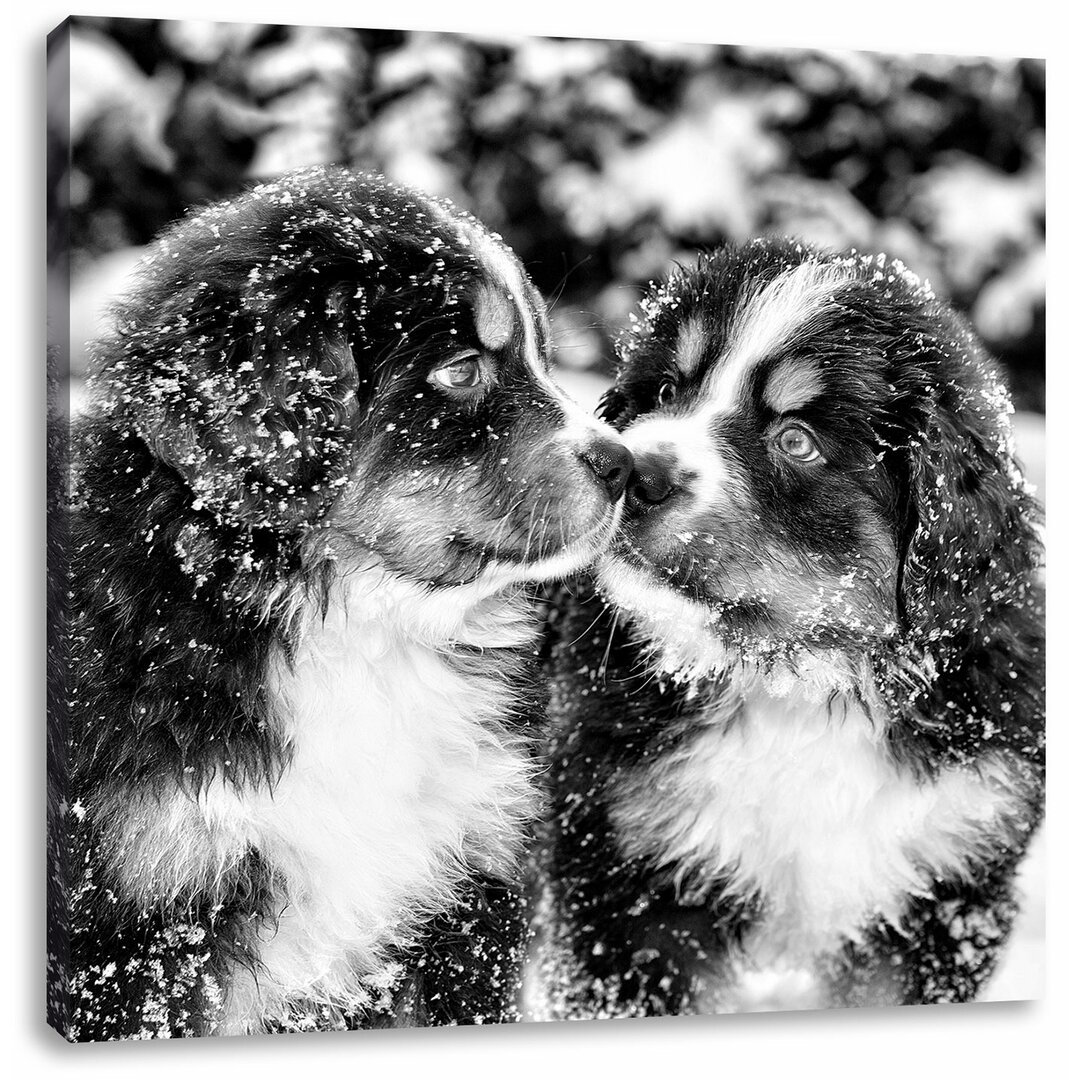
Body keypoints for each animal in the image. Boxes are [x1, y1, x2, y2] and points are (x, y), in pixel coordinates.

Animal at [540, 238, 1045, 1019]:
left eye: (796, 441)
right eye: (665, 391)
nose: (632, 471)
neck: (797, 683)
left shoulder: (947, 890)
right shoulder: (631, 886)